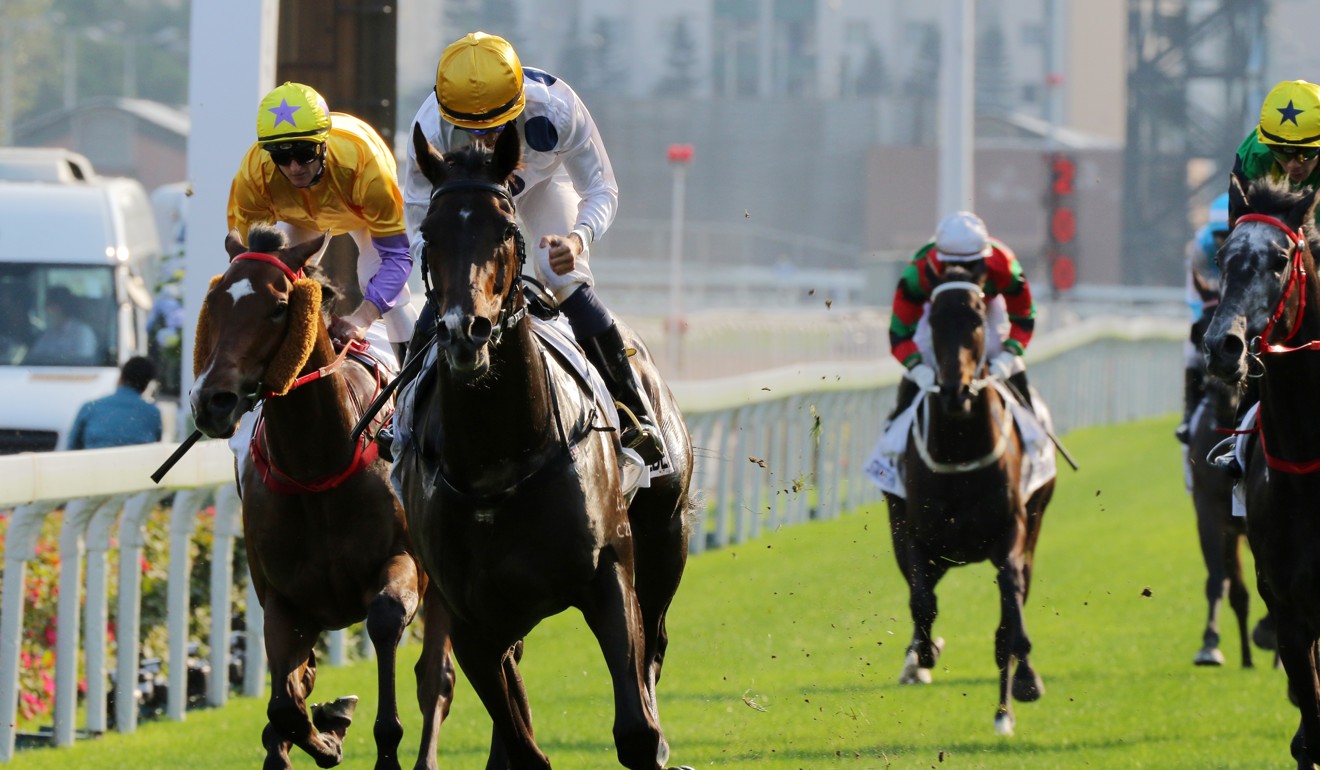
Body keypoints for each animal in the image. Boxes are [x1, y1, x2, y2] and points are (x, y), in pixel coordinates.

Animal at [393, 123, 696, 766]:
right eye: (429, 233)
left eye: (506, 229)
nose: (465, 332)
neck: (498, 463)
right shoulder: (471, 621)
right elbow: (524, 745)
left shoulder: (610, 571)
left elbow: (636, 729)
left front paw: (653, 738)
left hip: (666, 536)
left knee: (654, 642)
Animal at [881, 268, 1056, 739]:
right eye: (936, 320)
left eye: (977, 319)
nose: (954, 392)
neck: (959, 447)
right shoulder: (914, 537)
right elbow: (922, 603)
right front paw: (924, 655)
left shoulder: (1010, 533)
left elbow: (1009, 609)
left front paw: (1025, 682)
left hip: (1034, 524)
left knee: (1015, 600)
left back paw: (1005, 708)